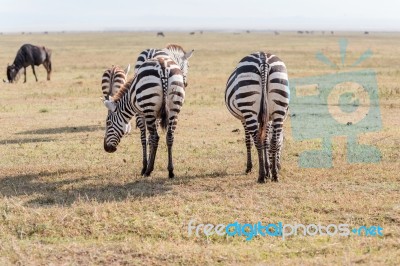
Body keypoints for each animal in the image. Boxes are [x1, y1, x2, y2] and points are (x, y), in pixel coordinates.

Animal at [225, 51, 288, 183]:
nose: (280, 166)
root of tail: (263, 59)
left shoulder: (244, 119)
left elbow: (248, 141)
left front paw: (250, 167)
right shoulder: (267, 119)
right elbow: (267, 141)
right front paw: (269, 169)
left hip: (248, 107)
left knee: (257, 140)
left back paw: (261, 176)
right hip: (279, 106)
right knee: (274, 140)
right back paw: (275, 174)